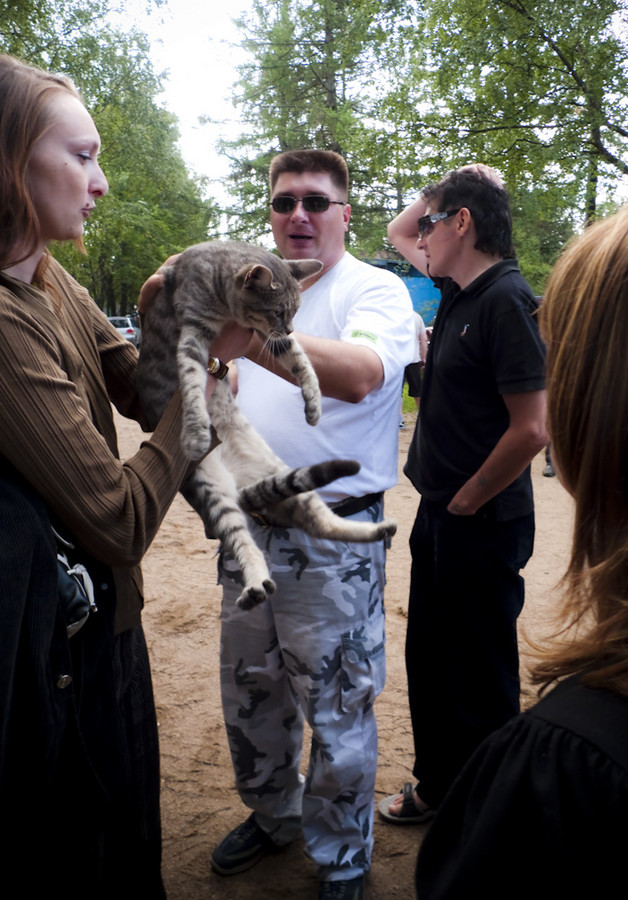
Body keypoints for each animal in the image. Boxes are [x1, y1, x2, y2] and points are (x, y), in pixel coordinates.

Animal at [139, 243, 398, 608]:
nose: (289, 328)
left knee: (318, 521)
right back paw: (255, 587)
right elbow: (191, 384)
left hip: (285, 478)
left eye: (295, 311)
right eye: (278, 311)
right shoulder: (194, 335)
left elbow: (303, 361)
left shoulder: (271, 338)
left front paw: (314, 403)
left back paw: (378, 531)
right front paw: (196, 431)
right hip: (210, 491)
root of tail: (239, 484)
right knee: (242, 540)